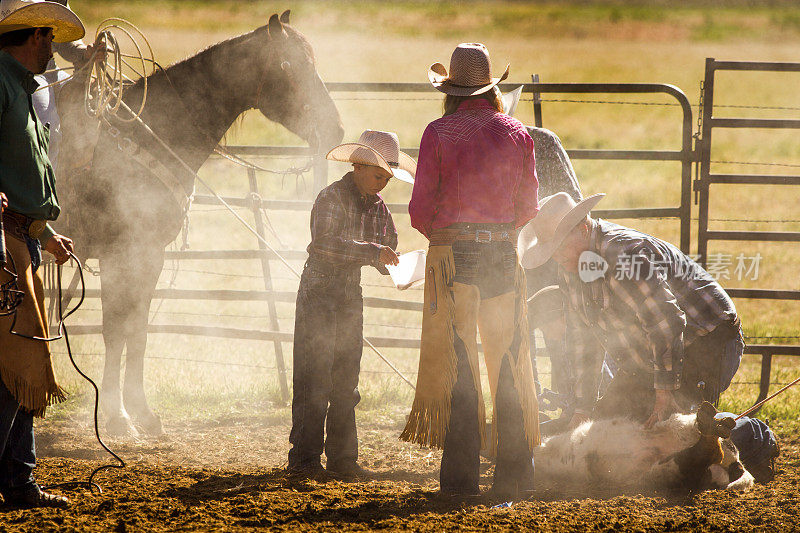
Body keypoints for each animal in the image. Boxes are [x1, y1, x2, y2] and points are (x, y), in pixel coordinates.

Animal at [55, 11, 344, 436]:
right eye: (290, 65)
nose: (335, 129)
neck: (145, 135)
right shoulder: (121, 254)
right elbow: (114, 329)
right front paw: (117, 416)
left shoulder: (150, 255)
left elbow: (137, 330)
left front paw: (142, 411)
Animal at [536, 402, 752, 492]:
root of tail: (737, 463)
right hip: (666, 472)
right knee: (693, 461)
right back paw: (712, 427)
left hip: (679, 424)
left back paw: (712, 421)